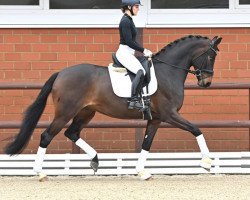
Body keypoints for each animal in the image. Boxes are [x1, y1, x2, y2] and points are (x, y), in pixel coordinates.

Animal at [4, 35, 223, 180]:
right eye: (211, 57)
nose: (206, 82)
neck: (167, 71)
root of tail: (61, 73)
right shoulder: (170, 114)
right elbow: (196, 129)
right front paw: (207, 162)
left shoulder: (157, 118)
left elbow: (146, 144)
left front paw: (141, 171)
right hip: (66, 112)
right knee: (47, 136)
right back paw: (40, 173)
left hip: (86, 112)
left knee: (72, 133)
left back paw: (95, 160)